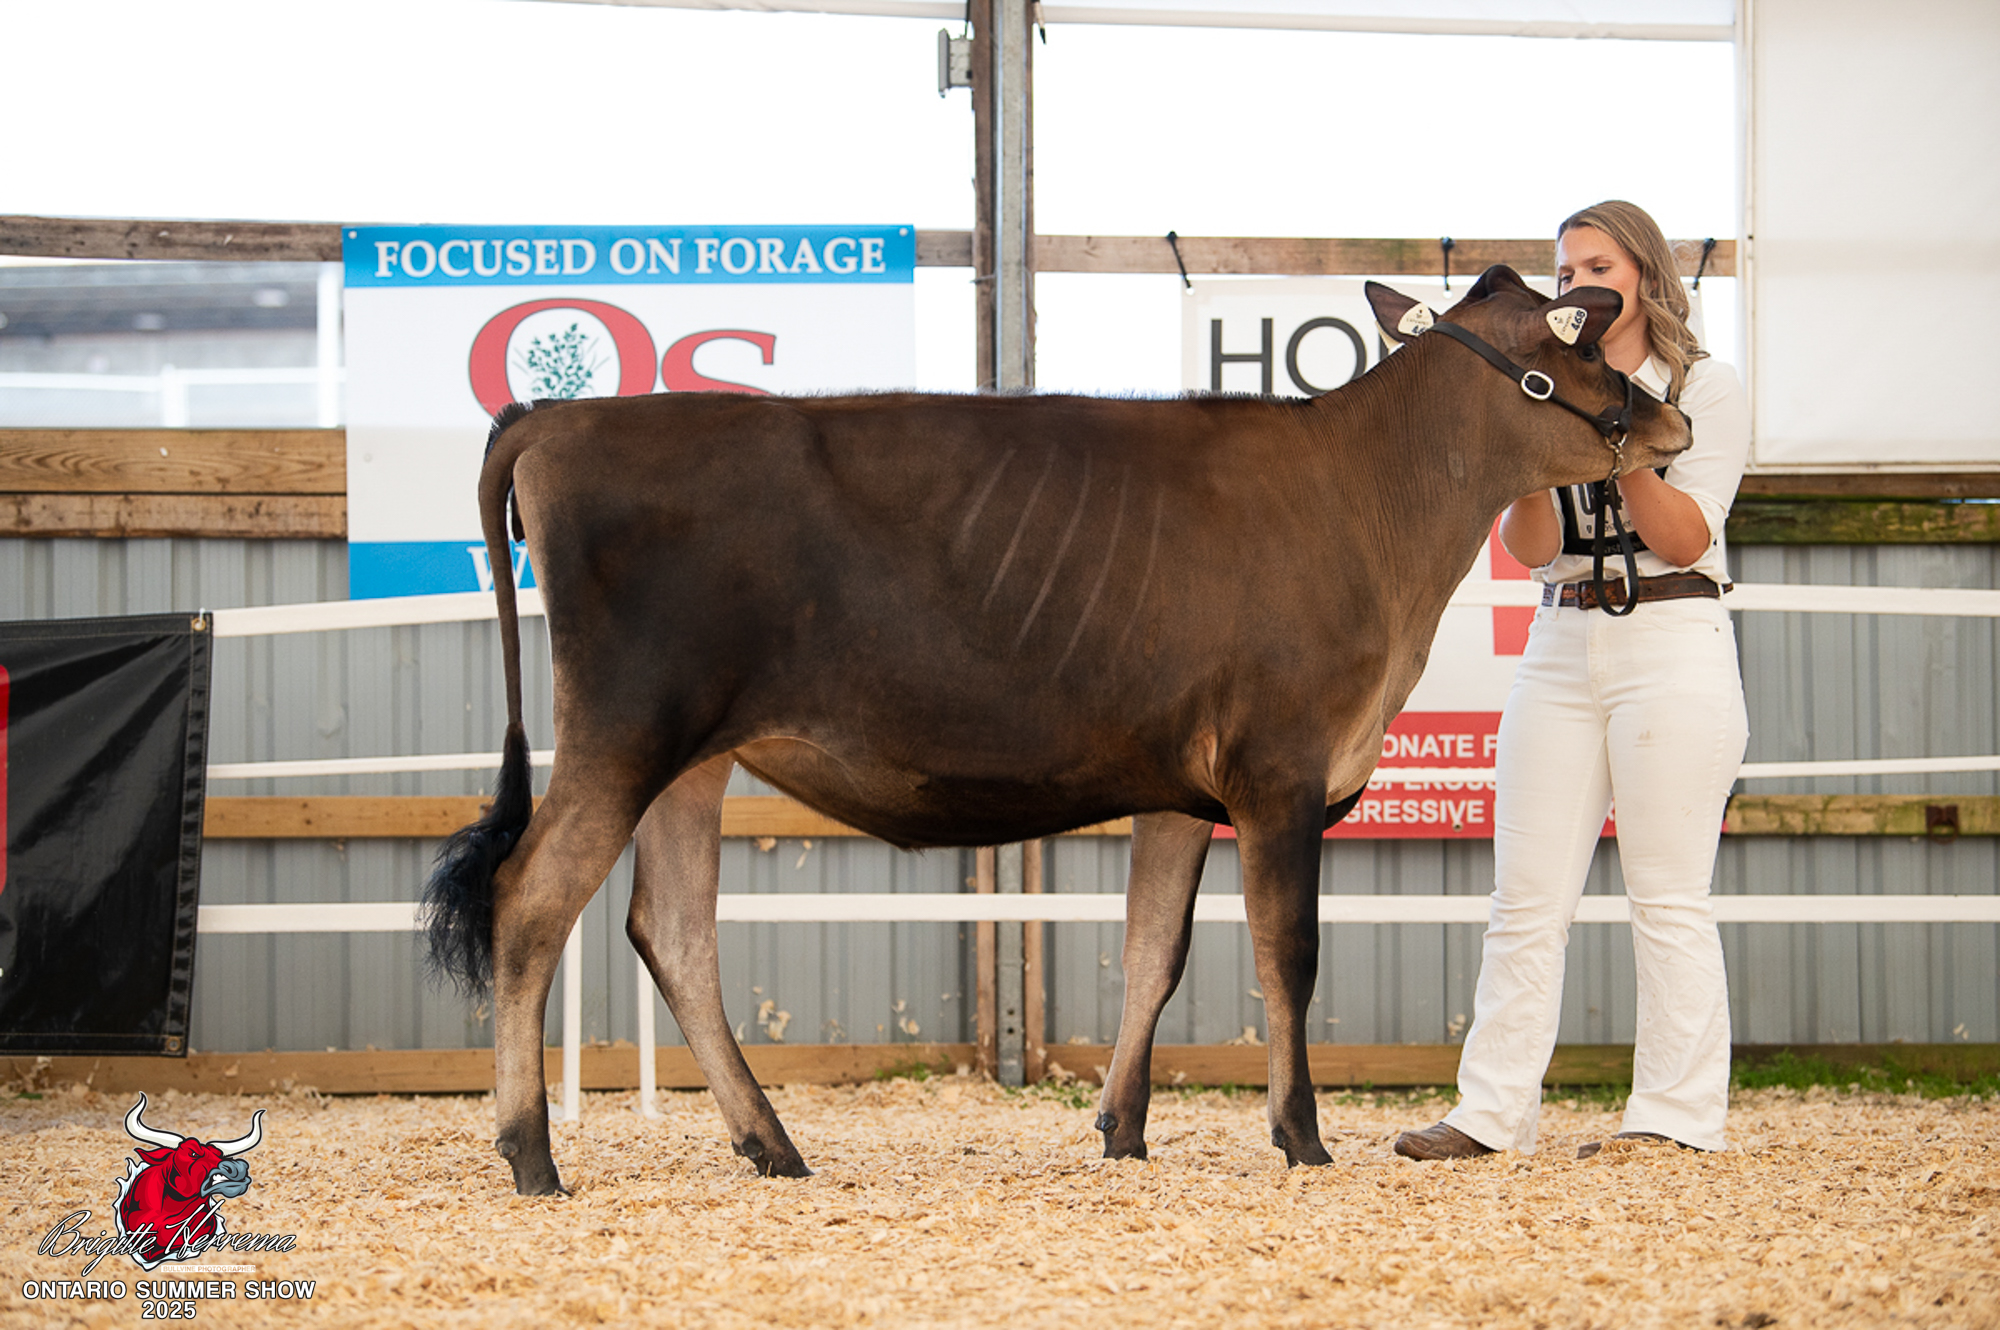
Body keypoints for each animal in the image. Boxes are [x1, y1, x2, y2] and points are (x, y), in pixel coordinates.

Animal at [423, 265, 1688, 1195]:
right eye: (1572, 334)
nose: (1667, 415)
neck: (1373, 508)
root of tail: (560, 419)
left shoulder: (1181, 789)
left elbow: (1151, 951)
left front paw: (1121, 1129)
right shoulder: (1279, 770)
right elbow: (1285, 952)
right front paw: (1299, 1135)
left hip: (694, 756)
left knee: (673, 930)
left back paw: (771, 1145)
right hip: (625, 729)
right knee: (532, 900)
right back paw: (532, 1156)